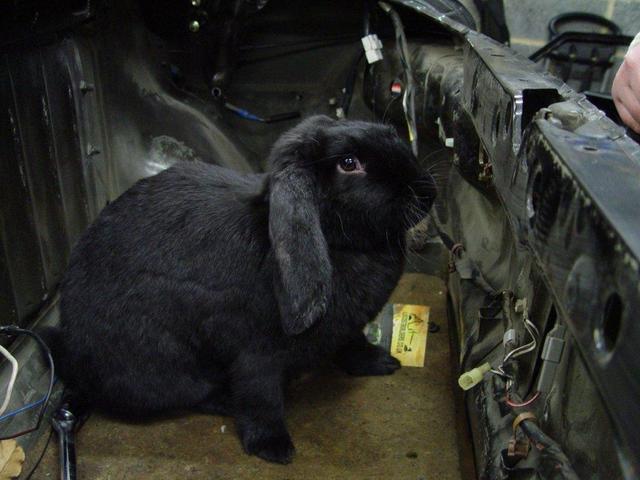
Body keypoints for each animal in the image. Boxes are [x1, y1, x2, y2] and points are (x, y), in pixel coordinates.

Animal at [44, 115, 436, 464]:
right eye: (349, 163)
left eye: (391, 132)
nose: (427, 192)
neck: (337, 241)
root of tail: (72, 355)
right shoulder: (255, 353)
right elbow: (261, 396)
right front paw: (273, 447)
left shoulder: (345, 328)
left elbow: (352, 344)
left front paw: (381, 362)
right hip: (161, 369)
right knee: (189, 394)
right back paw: (225, 401)